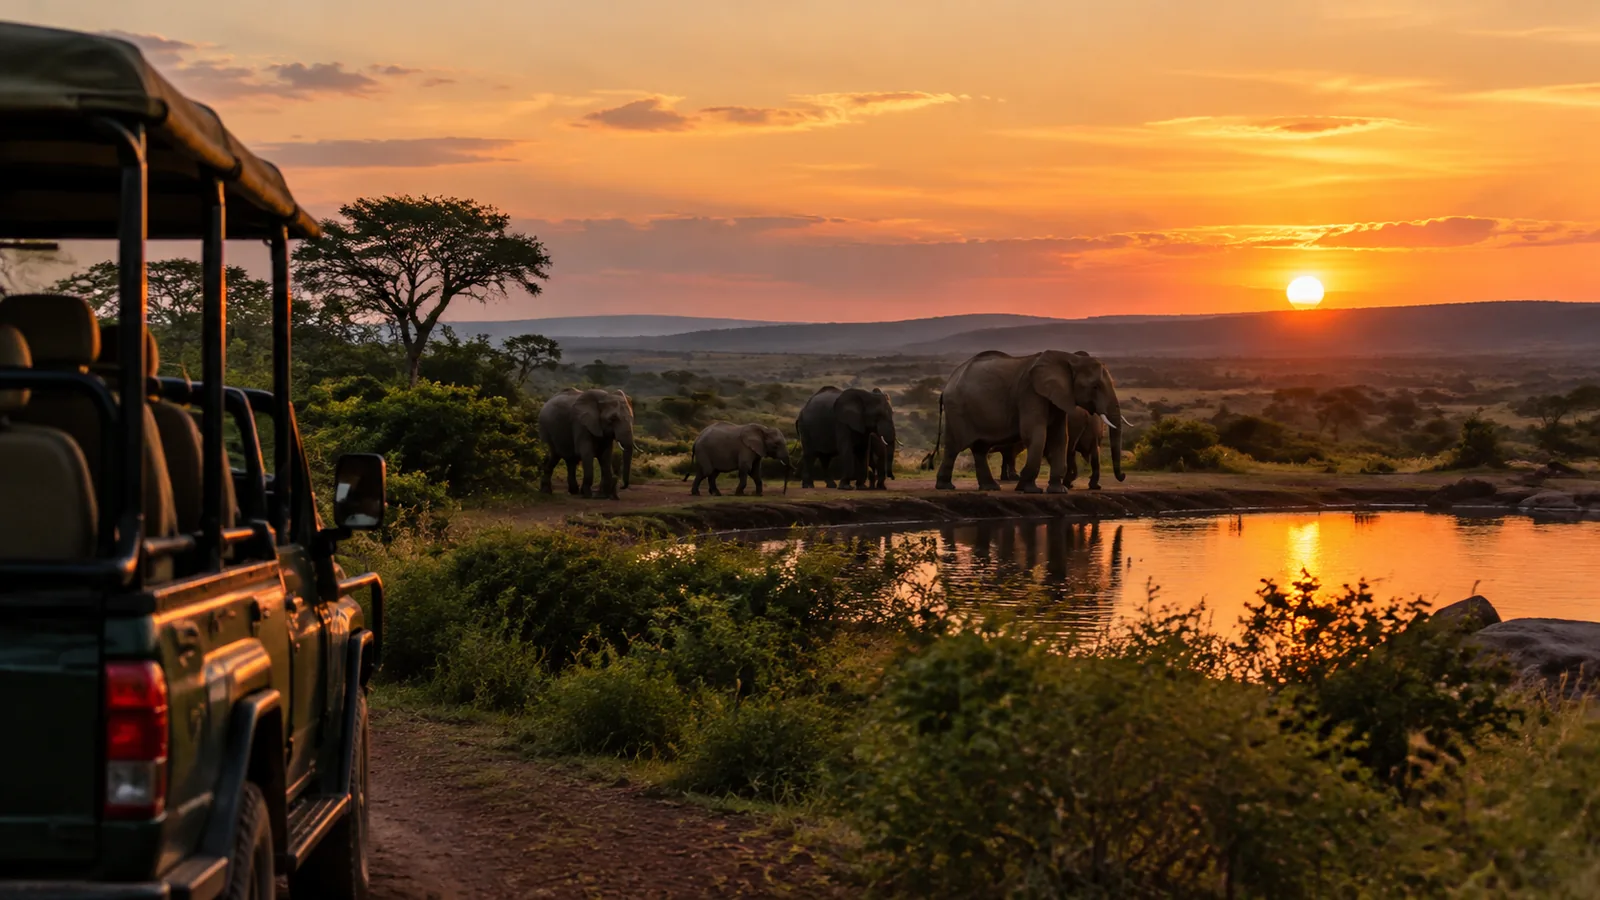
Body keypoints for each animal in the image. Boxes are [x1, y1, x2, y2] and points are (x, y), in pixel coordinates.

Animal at [925, 350, 1125, 493]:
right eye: (1095, 386)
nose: (1122, 476)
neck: (1069, 359)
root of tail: (946, 386)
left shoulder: (1059, 397)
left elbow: (1060, 437)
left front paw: (1058, 490)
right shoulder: (1030, 393)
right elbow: (1035, 434)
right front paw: (1029, 489)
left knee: (980, 448)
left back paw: (990, 487)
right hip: (958, 409)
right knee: (954, 447)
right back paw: (946, 487)